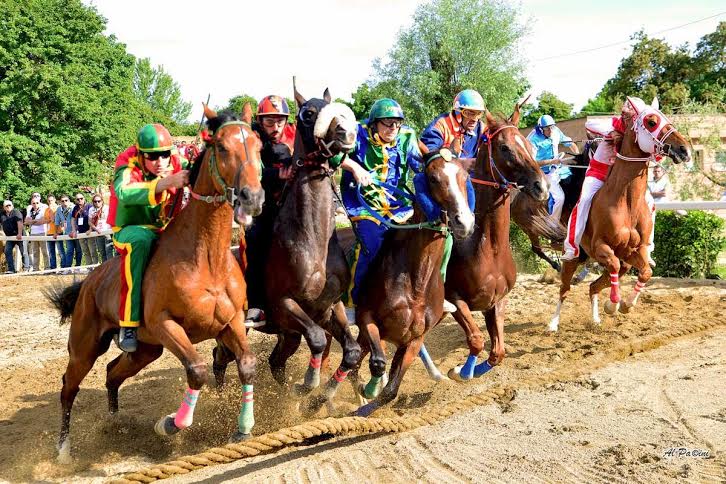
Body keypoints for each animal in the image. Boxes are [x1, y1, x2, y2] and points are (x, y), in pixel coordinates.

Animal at [44, 104, 264, 464]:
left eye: (258, 146)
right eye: (221, 147)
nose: (252, 197)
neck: (205, 258)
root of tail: (89, 282)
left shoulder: (230, 322)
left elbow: (246, 364)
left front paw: (243, 427)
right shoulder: (166, 325)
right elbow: (197, 369)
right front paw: (172, 424)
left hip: (146, 351)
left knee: (112, 373)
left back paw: (114, 422)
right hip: (85, 348)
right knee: (68, 386)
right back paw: (63, 449)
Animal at [213, 85, 364, 410]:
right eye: (308, 113)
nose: (347, 132)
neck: (312, 241)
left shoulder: (330, 308)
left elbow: (352, 352)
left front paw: (320, 397)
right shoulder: (285, 306)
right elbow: (318, 340)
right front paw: (307, 385)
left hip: (289, 336)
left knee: (275, 363)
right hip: (237, 332)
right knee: (220, 358)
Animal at [346, 148, 478, 416]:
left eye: (464, 177)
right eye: (433, 178)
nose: (464, 222)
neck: (415, 283)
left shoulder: (414, 339)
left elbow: (391, 390)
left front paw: (365, 406)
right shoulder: (367, 317)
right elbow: (378, 363)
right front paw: (367, 392)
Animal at [430, 106, 548, 382]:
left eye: (528, 144)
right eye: (504, 148)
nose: (541, 186)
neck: (487, 248)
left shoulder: (497, 300)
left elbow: (498, 352)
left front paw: (475, 368)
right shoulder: (454, 299)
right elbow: (476, 340)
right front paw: (460, 371)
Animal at [552, 98, 692, 332]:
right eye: (651, 121)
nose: (684, 149)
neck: (626, 202)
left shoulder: (636, 250)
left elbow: (646, 272)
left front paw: (625, 304)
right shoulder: (602, 247)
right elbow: (614, 266)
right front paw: (613, 303)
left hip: (617, 261)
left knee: (594, 286)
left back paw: (596, 319)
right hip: (573, 258)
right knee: (565, 288)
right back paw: (553, 323)